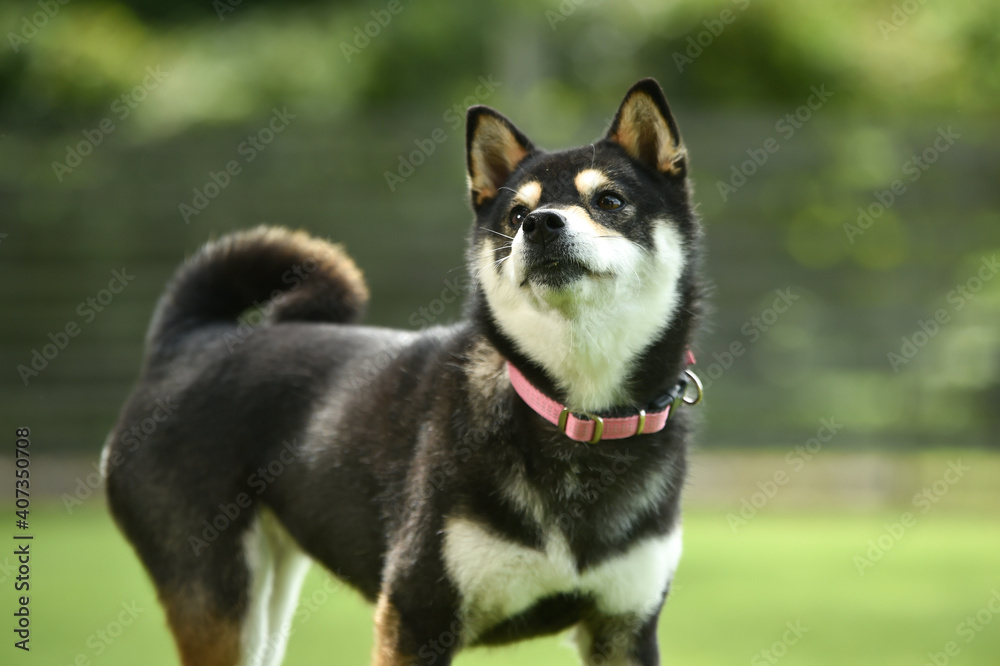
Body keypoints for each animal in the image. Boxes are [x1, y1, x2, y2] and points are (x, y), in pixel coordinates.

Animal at [103, 75, 704, 660]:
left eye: (609, 199)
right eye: (515, 215)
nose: (540, 225)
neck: (577, 418)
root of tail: (188, 340)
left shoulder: (625, 627)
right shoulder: (416, 615)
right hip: (219, 605)